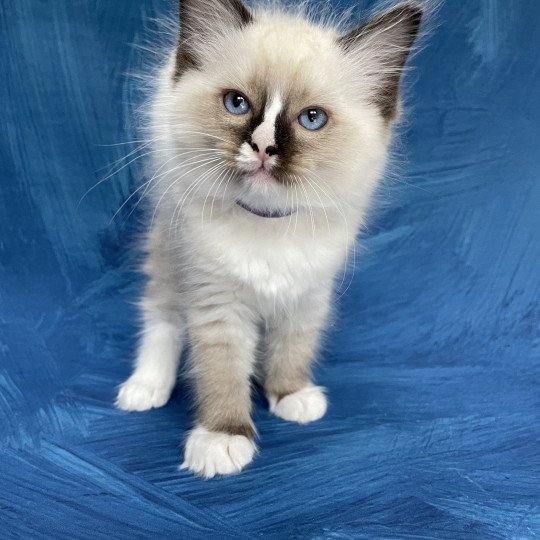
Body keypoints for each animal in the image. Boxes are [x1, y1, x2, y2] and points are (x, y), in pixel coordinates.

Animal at [116, 0, 424, 476]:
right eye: (237, 103)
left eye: (311, 119)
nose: (263, 147)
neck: (267, 223)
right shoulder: (217, 301)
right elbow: (222, 372)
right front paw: (223, 439)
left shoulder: (308, 294)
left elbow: (293, 348)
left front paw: (291, 395)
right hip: (169, 248)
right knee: (162, 316)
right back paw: (146, 387)